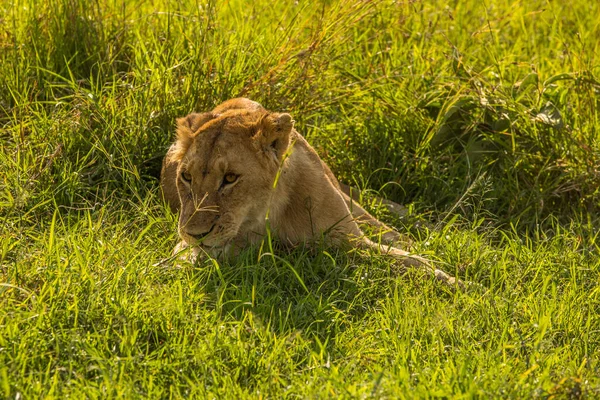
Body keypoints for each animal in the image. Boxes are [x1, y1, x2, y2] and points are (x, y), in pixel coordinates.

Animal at [159, 99, 460, 290]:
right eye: (186, 177)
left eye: (230, 178)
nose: (195, 235)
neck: (268, 216)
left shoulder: (350, 238)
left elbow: (409, 260)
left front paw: (458, 283)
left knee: (390, 231)